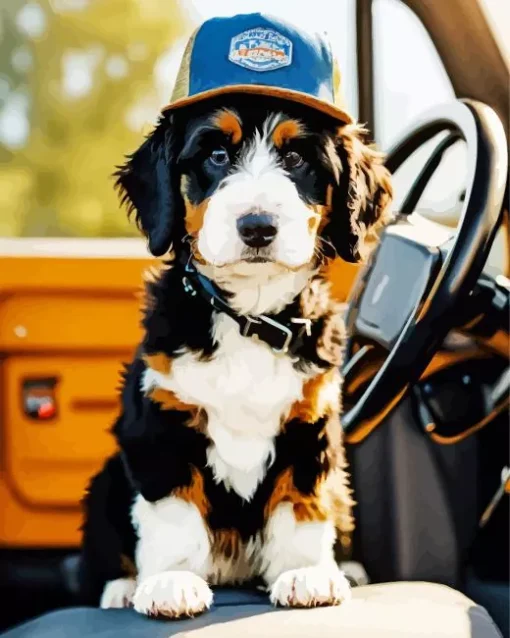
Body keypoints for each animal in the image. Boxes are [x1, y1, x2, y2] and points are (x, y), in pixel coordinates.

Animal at [77, 92, 392, 616]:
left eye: (296, 159)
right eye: (218, 156)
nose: (258, 227)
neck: (250, 317)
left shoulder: (309, 423)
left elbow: (303, 503)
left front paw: (305, 573)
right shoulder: (161, 421)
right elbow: (172, 510)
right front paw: (171, 582)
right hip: (106, 480)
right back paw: (121, 588)